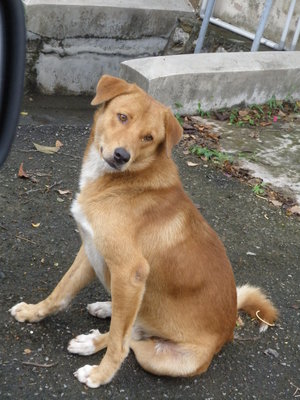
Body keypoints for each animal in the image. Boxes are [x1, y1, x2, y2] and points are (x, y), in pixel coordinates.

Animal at [9, 74, 278, 388]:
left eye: (149, 138)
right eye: (122, 117)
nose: (121, 156)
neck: (123, 181)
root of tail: (229, 331)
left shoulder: (131, 270)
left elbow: (119, 342)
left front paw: (101, 374)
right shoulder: (91, 248)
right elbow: (60, 292)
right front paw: (32, 313)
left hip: (161, 357)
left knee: (131, 340)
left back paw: (94, 344)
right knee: (131, 325)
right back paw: (106, 309)